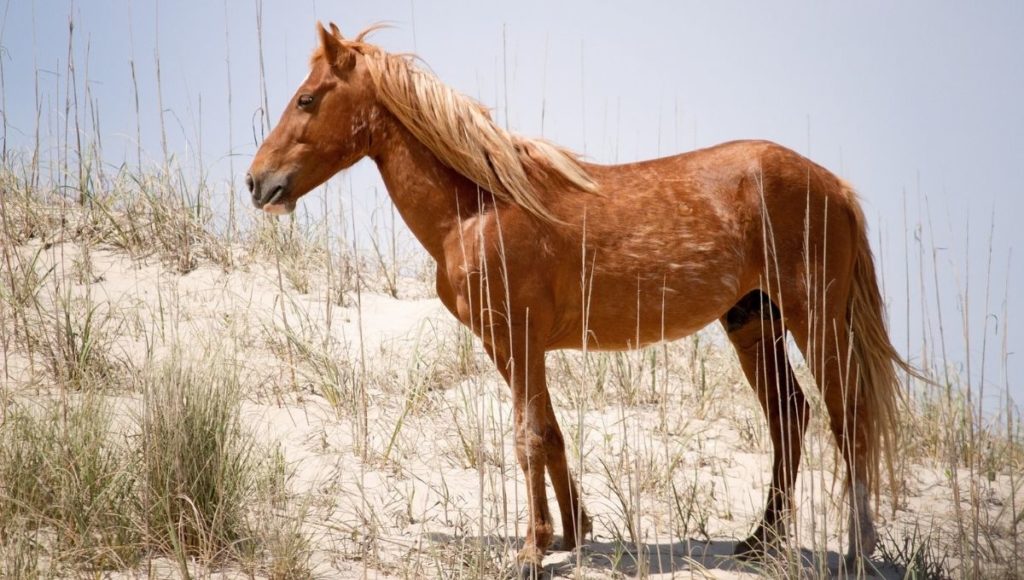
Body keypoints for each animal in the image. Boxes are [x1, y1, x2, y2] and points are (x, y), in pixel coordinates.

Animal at [247, 21, 913, 577]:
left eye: (307, 99)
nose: (258, 182)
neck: (479, 207)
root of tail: (835, 186)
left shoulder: (519, 339)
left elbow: (528, 439)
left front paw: (532, 550)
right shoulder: (513, 346)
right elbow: (550, 433)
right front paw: (572, 533)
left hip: (814, 320)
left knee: (848, 418)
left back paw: (858, 551)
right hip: (753, 323)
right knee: (790, 417)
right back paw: (760, 541)